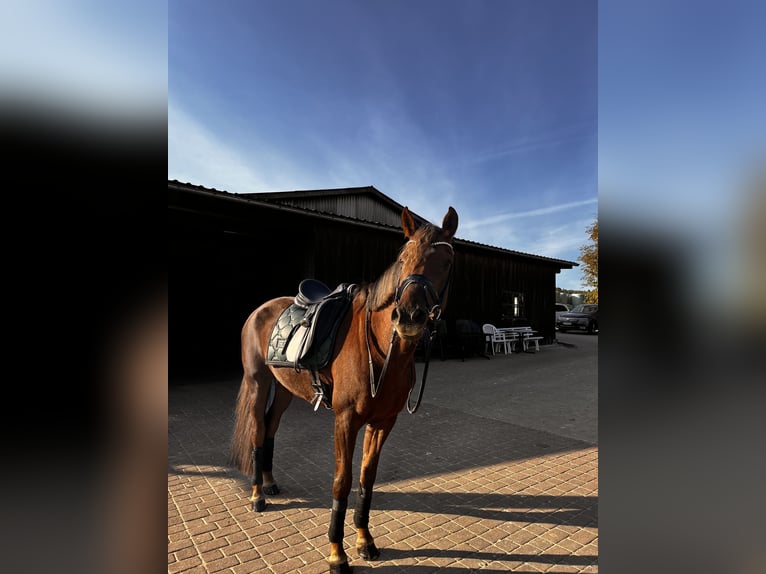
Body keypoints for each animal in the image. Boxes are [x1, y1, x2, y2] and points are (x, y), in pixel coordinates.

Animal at [230, 205, 458, 573]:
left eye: (446, 262)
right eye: (403, 259)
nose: (409, 317)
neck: (381, 351)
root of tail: (260, 310)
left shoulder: (383, 422)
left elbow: (366, 480)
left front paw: (365, 541)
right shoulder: (345, 420)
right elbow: (342, 481)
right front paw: (337, 554)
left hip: (283, 391)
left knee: (270, 427)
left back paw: (270, 483)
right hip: (257, 383)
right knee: (257, 431)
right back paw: (257, 495)